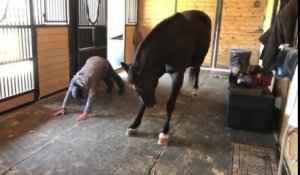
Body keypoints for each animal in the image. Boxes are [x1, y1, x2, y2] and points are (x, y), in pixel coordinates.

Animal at [121, 10, 211, 146]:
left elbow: (170, 103)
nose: (151, 104)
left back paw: (195, 90)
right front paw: (134, 125)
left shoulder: (177, 73)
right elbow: (142, 104)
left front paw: (164, 132)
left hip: (199, 59)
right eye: (135, 88)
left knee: (197, 70)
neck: (169, 43)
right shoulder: (156, 73)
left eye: (143, 85)